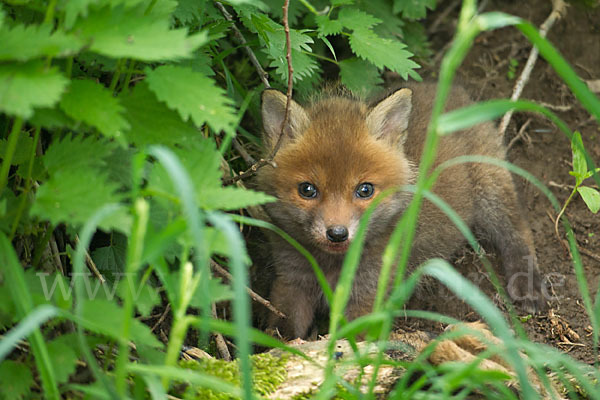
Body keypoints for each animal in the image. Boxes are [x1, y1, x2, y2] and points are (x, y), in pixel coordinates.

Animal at [255, 83, 548, 340]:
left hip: (491, 190)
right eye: (307, 190)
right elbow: (283, 331)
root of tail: (455, 90)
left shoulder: (370, 289)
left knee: (519, 229)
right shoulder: (291, 281)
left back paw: (528, 283)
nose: (337, 234)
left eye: (365, 190)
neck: (331, 264)